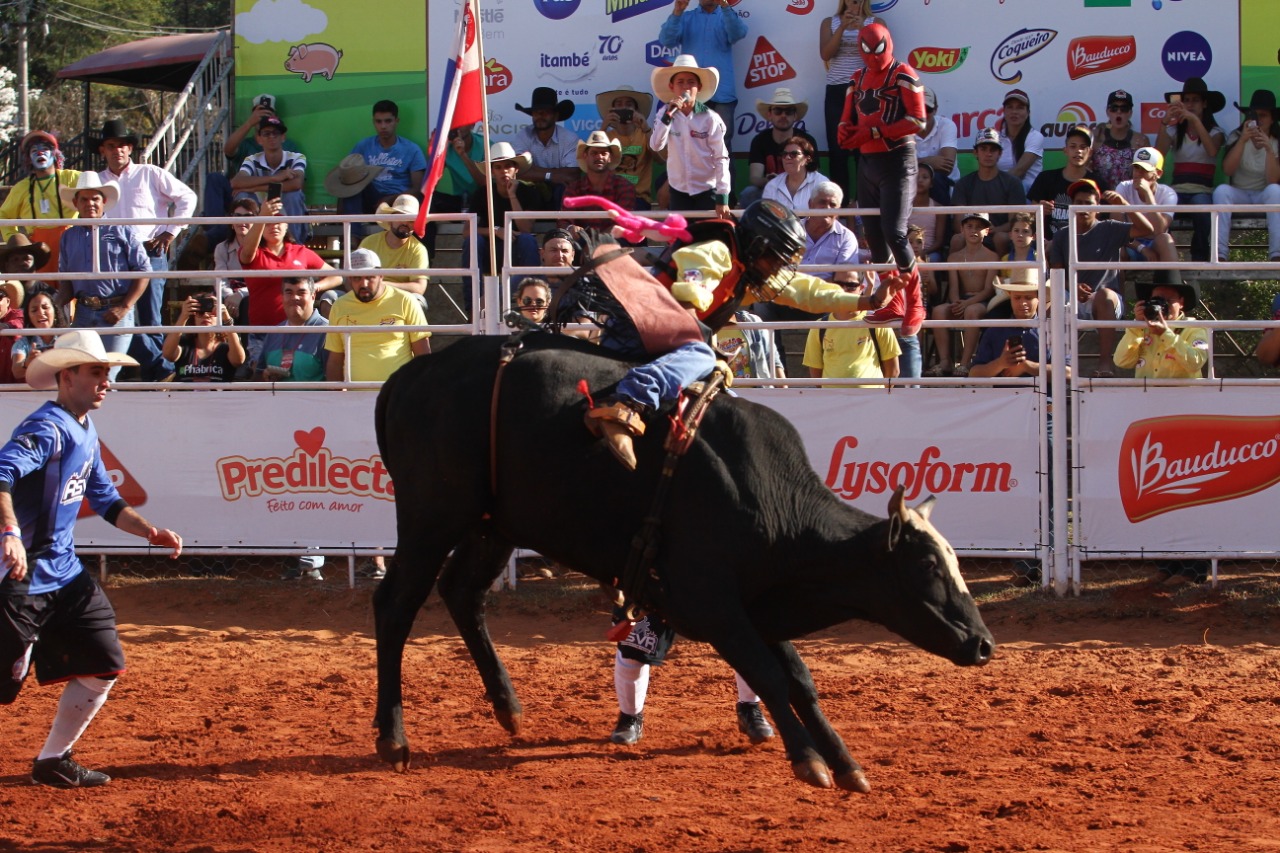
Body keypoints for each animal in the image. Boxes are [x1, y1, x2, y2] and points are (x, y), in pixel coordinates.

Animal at [373, 333, 993, 788]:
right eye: (927, 568)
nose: (983, 643)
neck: (766, 499)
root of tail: (407, 379)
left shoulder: (757, 603)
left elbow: (799, 679)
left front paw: (845, 762)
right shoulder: (710, 601)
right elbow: (769, 673)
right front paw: (809, 760)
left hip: (494, 524)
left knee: (462, 592)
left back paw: (509, 708)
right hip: (432, 518)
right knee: (396, 604)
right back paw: (393, 738)